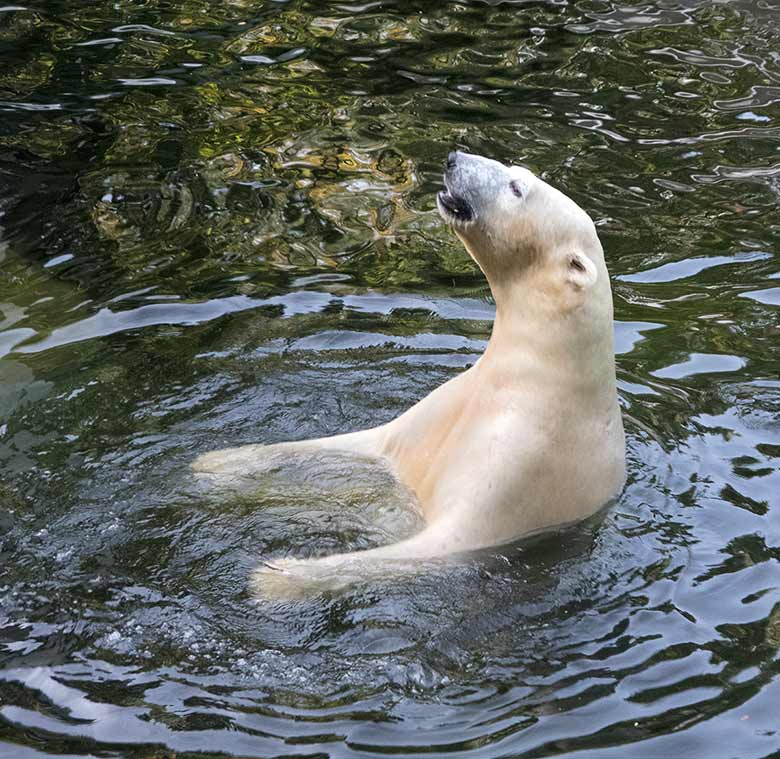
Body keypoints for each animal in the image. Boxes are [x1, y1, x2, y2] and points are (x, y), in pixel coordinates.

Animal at [195, 151, 628, 596]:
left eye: (516, 188)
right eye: (516, 171)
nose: (454, 158)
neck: (537, 378)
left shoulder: (520, 469)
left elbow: (437, 543)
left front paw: (277, 577)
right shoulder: (441, 412)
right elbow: (365, 443)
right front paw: (220, 462)